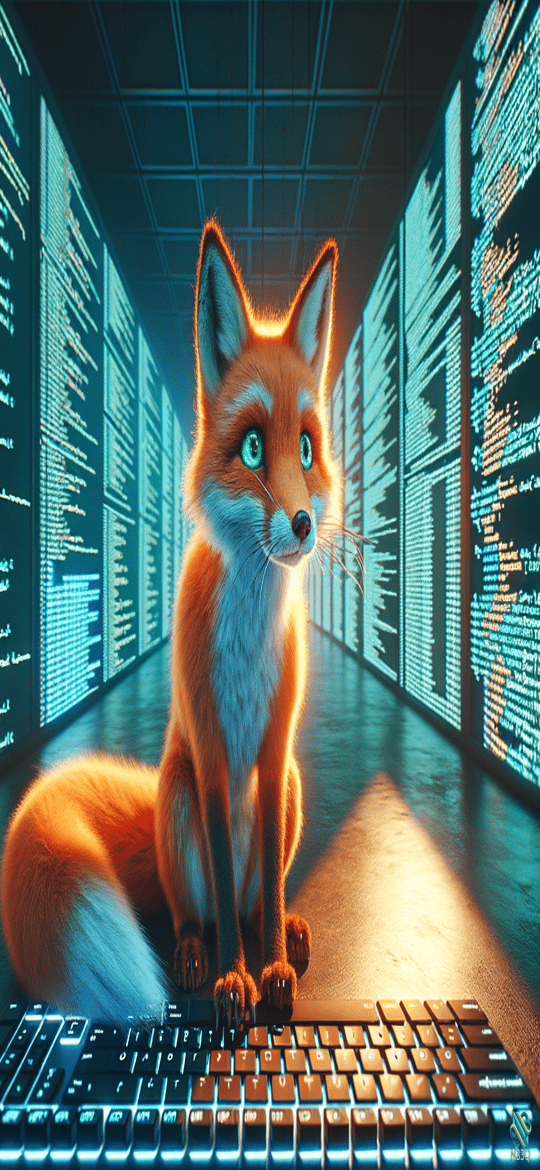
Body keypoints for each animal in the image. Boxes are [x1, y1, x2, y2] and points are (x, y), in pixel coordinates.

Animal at [1, 221, 341, 1025]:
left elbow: (266, 894)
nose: (303, 524)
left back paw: (283, 929)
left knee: (252, 901)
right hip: (180, 798)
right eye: (252, 447)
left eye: (306, 448)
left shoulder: (273, 751)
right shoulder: (212, 755)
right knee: (202, 910)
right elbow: (220, 885)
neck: (248, 644)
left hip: (290, 792)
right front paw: (232, 981)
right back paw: (192, 954)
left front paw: (272, 970)